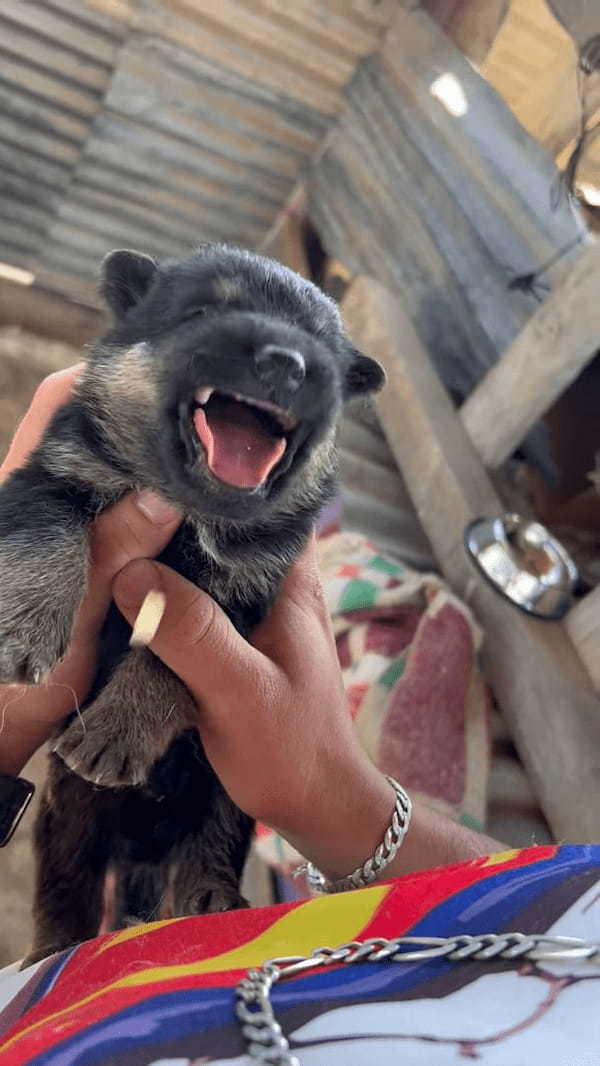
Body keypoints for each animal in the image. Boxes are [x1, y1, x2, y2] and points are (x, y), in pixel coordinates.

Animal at [0, 245, 385, 963]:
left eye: (321, 347)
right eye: (203, 311)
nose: (287, 361)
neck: (189, 510)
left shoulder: (245, 594)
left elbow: (171, 661)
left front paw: (119, 728)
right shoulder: (55, 471)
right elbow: (50, 532)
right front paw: (26, 627)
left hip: (226, 793)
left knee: (210, 846)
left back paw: (208, 899)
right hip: (71, 815)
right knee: (66, 886)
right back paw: (53, 950)